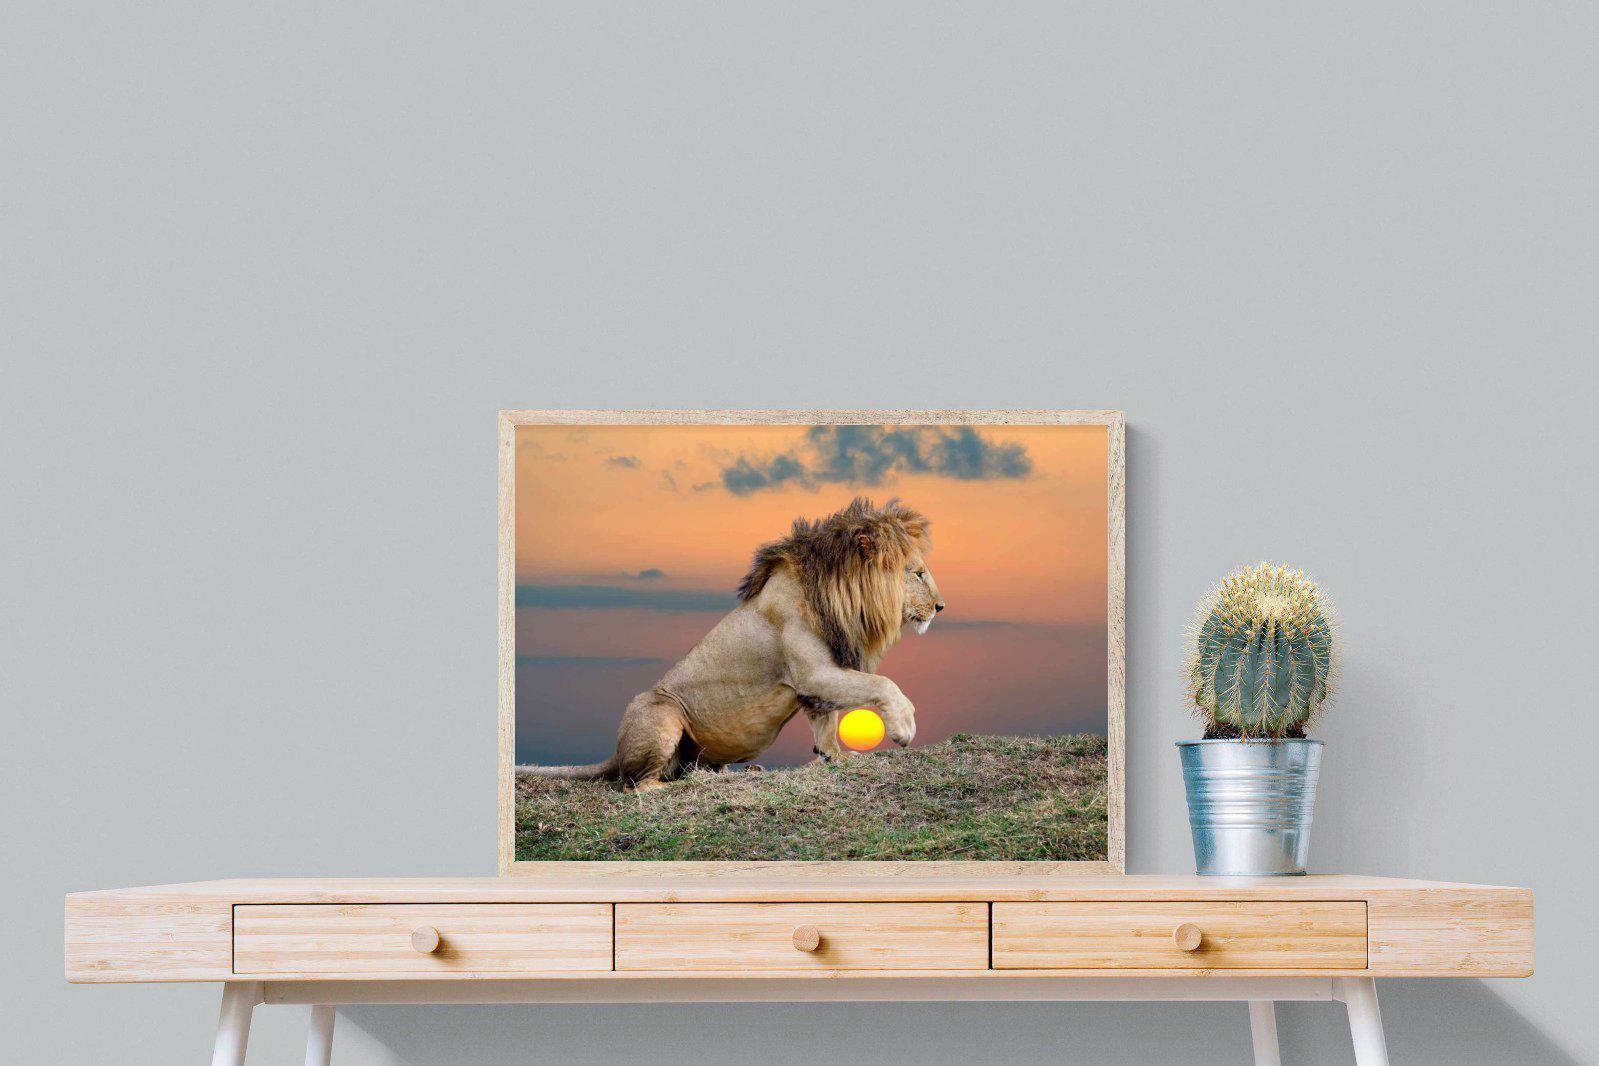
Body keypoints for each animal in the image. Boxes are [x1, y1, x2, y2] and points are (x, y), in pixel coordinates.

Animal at [518, 497, 945, 791]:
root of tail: (615, 751)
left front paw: (833, 758)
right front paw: (904, 726)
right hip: (661, 712)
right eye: (918, 573)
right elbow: (881, 684)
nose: (941, 607)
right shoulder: (813, 673)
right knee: (639, 785)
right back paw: (697, 783)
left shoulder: (815, 684)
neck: (838, 597)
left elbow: (825, 723)